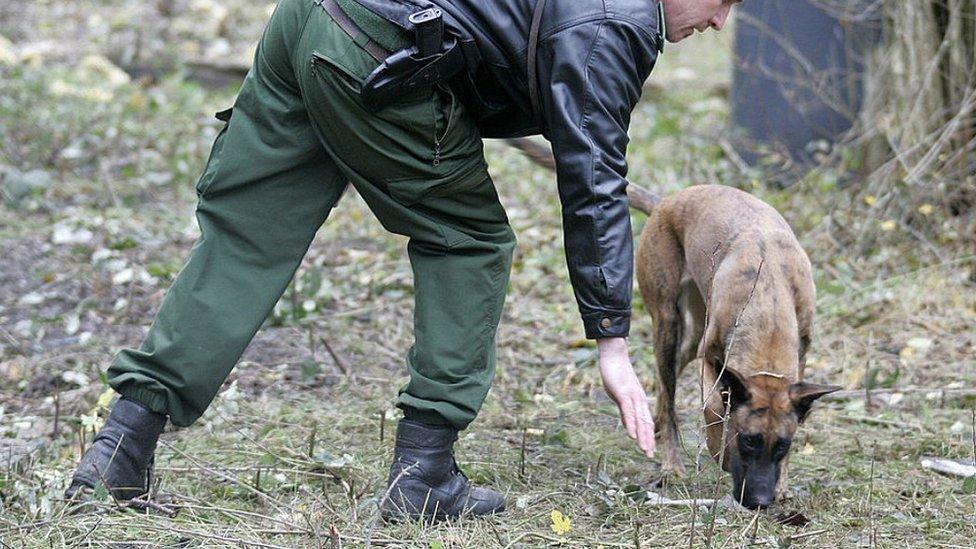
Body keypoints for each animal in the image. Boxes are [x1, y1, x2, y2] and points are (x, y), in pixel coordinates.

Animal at [632, 185, 840, 510]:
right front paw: (720, 452)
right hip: (666, 320)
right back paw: (671, 462)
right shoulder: (711, 359)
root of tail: (667, 201)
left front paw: (783, 483)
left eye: (782, 445)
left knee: (672, 374)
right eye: (748, 440)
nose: (761, 501)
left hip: (693, 328)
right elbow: (715, 407)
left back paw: (656, 419)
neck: (769, 300)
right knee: (669, 386)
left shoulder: (800, 359)